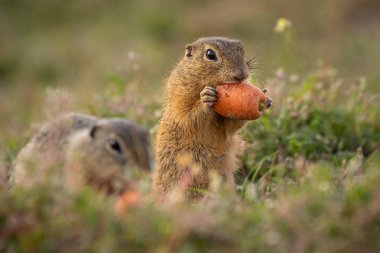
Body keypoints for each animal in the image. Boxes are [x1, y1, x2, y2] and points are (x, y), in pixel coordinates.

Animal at [152, 36, 264, 199]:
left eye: (241, 49)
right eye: (210, 54)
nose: (241, 75)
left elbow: (230, 126)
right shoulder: (179, 93)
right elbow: (188, 115)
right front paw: (206, 98)